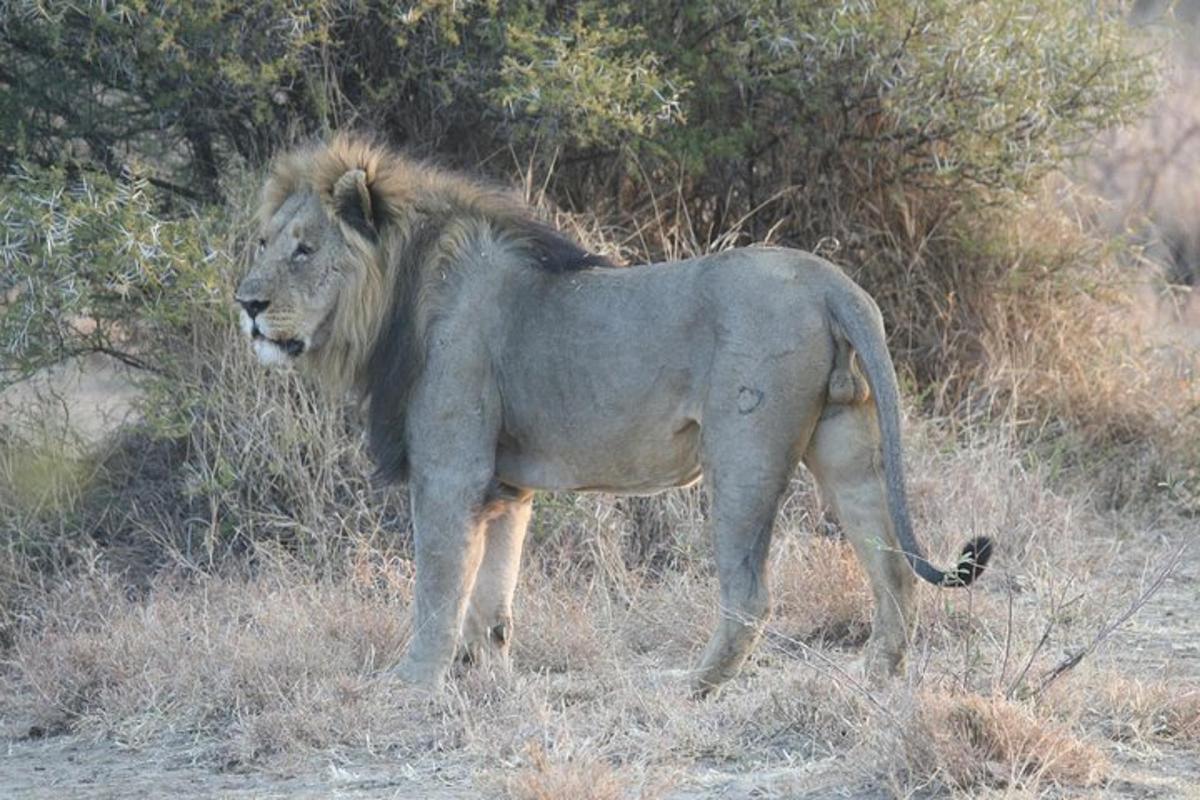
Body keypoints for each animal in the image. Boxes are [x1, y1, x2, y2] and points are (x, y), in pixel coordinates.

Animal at [236, 133, 993, 695]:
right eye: (264, 242)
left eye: (305, 248)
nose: (246, 303)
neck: (401, 292)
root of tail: (831, 281)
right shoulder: (506, 486)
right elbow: (493, 598)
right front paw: (491, 681)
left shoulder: (450, 472)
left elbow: (437, 586)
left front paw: (411, 684)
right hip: (847, 445)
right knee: (891, 567)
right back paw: (877, 677)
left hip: (744, 456)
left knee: (750, 594)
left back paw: (693, 686)